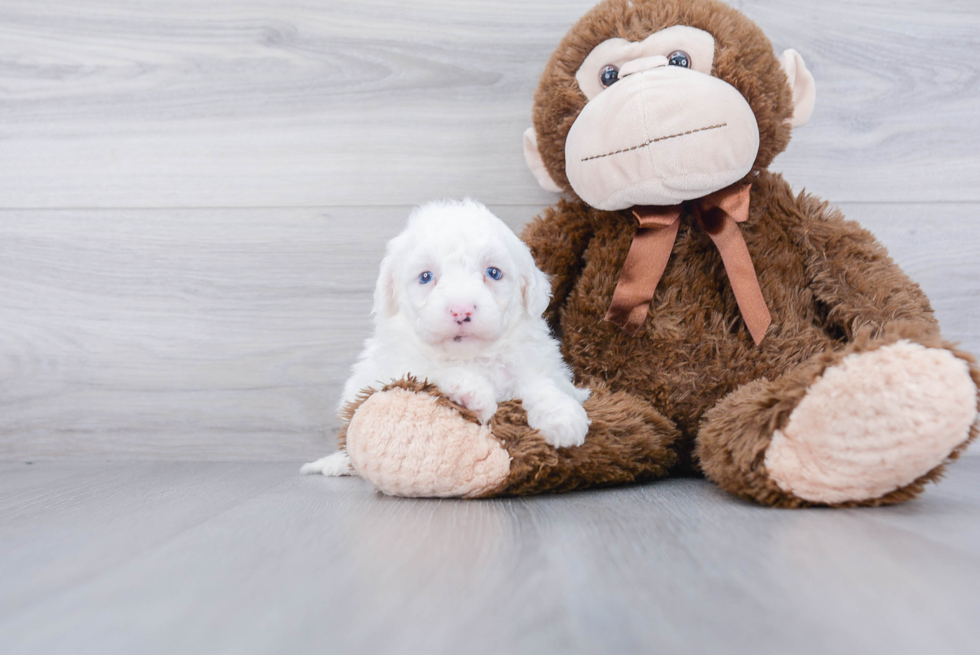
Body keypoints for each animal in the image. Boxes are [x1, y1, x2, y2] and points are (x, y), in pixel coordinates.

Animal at [298, 197, 588, 480]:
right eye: (426, 277)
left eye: (493, 273)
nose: (461, 309)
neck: (471, 357)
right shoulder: (399, 368)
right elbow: (432, 370)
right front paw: (472, 393)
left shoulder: (532, 362)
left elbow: (538, 382)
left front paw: (562, 417)